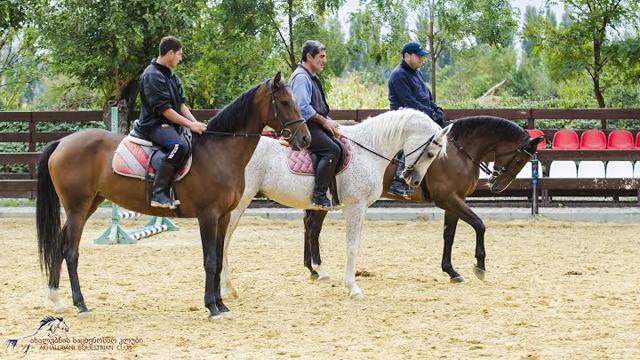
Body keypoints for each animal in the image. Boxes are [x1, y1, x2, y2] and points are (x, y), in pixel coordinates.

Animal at [36, 72, 312, 318]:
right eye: (284, 102)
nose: (305, 138)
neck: (219, 151)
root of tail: (61, 143)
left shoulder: (223, 216)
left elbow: (218, 259)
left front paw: (222, 305)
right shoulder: (208, 215)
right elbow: (210, 259)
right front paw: (212, 307)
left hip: (88, 205)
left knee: (59, 247)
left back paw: (56, 299)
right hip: (77, 208)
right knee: (70, 251)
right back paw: (80, 304)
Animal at [302, 116, 544, 286]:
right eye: (520, 159)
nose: (497, 185)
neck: (458, 153)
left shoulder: (454, 201)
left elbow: (449, 235)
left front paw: (451, 271)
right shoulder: (449, 199)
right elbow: (479, 225)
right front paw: (480, 266)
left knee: (308, 225)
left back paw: (311, 268)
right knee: (313, 227)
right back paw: (316, 268)